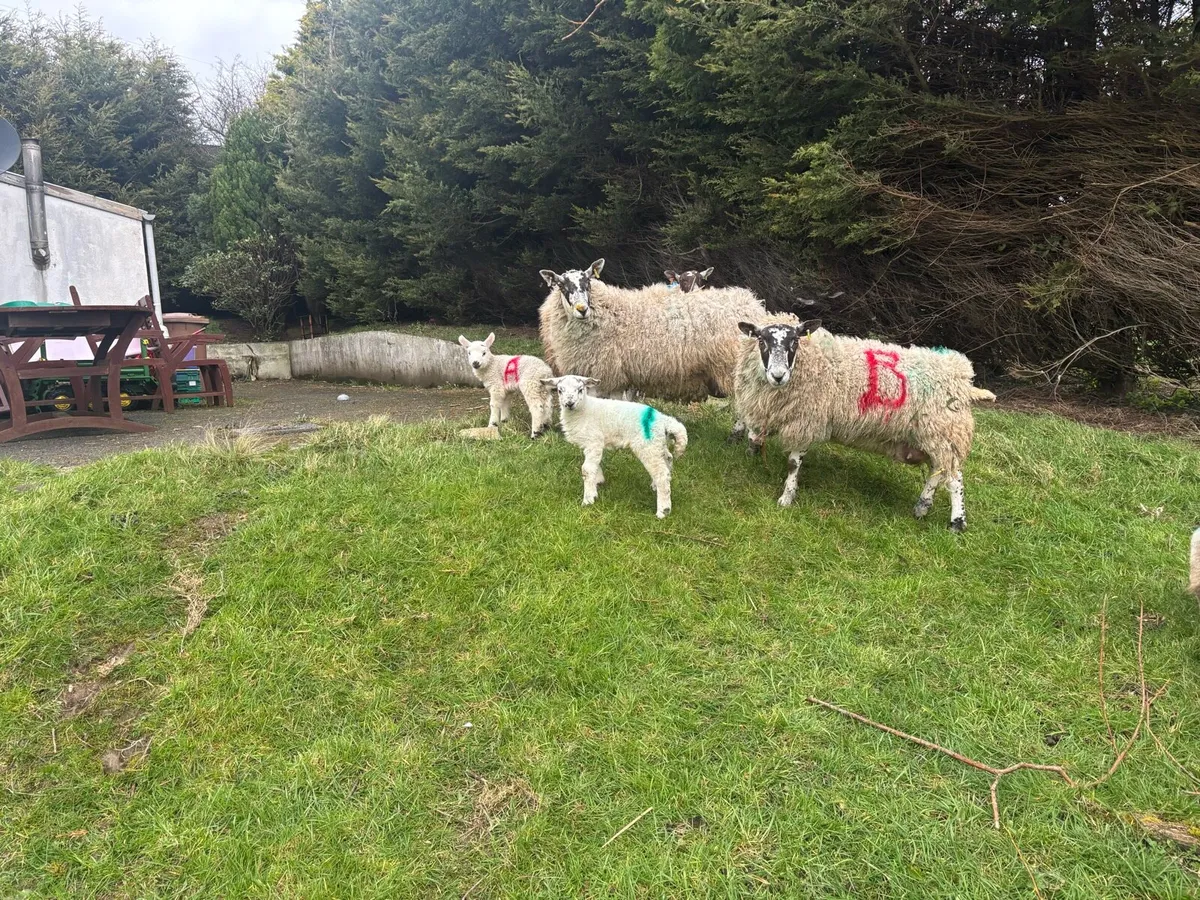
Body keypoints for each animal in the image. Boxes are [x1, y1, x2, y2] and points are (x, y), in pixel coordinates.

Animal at [538, 259, 796, 439]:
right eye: (561, 285)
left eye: (588, 282)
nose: (582, 309)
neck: (607, 313)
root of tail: (753, 304)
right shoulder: (623, 375)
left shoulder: (608, 373)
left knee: (746, 403)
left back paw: (740, 435)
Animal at [542, 374, 688, 518]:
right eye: (560, 390)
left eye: (580, 389)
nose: (569, 403)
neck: (584, 410)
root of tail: (663, 419)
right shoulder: (592, 444)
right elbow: (595, 465)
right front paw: (598, 482)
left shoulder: (594, 441)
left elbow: (587, 469)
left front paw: (588, 499)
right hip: (658, 443)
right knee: (668, 459)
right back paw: (655, 486)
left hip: (647, 446)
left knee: (661, 474)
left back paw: (663, 510)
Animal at [733, 320, 996, 531]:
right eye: (761, 341)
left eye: (794, 341)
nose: (778, 376)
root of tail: (963, 379)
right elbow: (755, 435)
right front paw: (751, 451)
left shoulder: (807, 420)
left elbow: (792, 464)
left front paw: (786, 499)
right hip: (931, 436)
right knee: (937, 471)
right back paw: (922, 507)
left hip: (944, 432)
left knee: (954, 478)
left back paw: (957, 523)